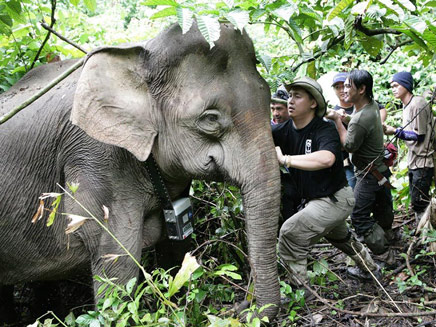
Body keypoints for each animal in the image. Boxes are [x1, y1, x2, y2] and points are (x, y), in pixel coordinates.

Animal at [0, 22, 280, 320]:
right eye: (210, 119)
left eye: (268, 97)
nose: (242, 307)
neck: (142, 53)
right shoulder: (96, 159)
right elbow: (117, 263)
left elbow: (175, 251)